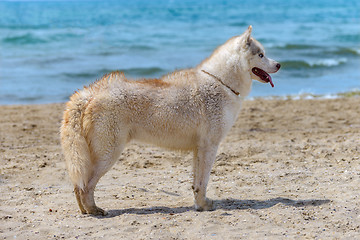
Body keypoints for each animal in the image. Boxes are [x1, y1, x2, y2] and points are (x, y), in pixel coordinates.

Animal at [61, 25, 282, 215]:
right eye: (261, 55)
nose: (279, 65)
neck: (220, 82)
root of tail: (89, 94)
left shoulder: (199, 148)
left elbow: (196, 183)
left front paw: (199, 205)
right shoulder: (209, 146)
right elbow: (203, 182)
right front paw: (204, 206)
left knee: (77, 185)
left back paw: (85, 210)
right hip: (109, 153)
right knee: (85, 186)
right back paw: (94, 210)